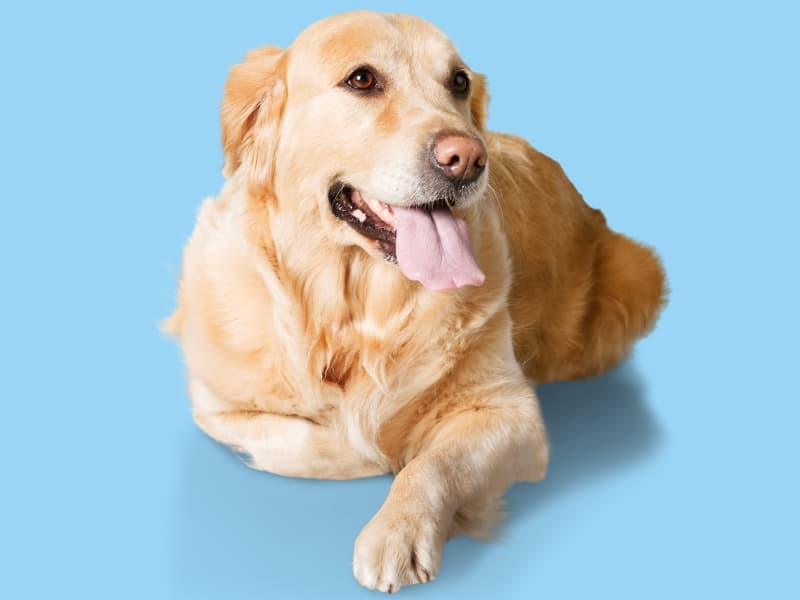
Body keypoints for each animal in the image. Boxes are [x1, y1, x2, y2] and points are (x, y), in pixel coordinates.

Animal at [162, 9, 664, 592]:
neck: (355, 314)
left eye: (459, 82)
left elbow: (436, 462)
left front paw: (398, 529)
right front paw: (374, 451)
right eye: (361, 79)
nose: (467, 158)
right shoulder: (215, 403)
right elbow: (315, 442)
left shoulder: (509, 412)